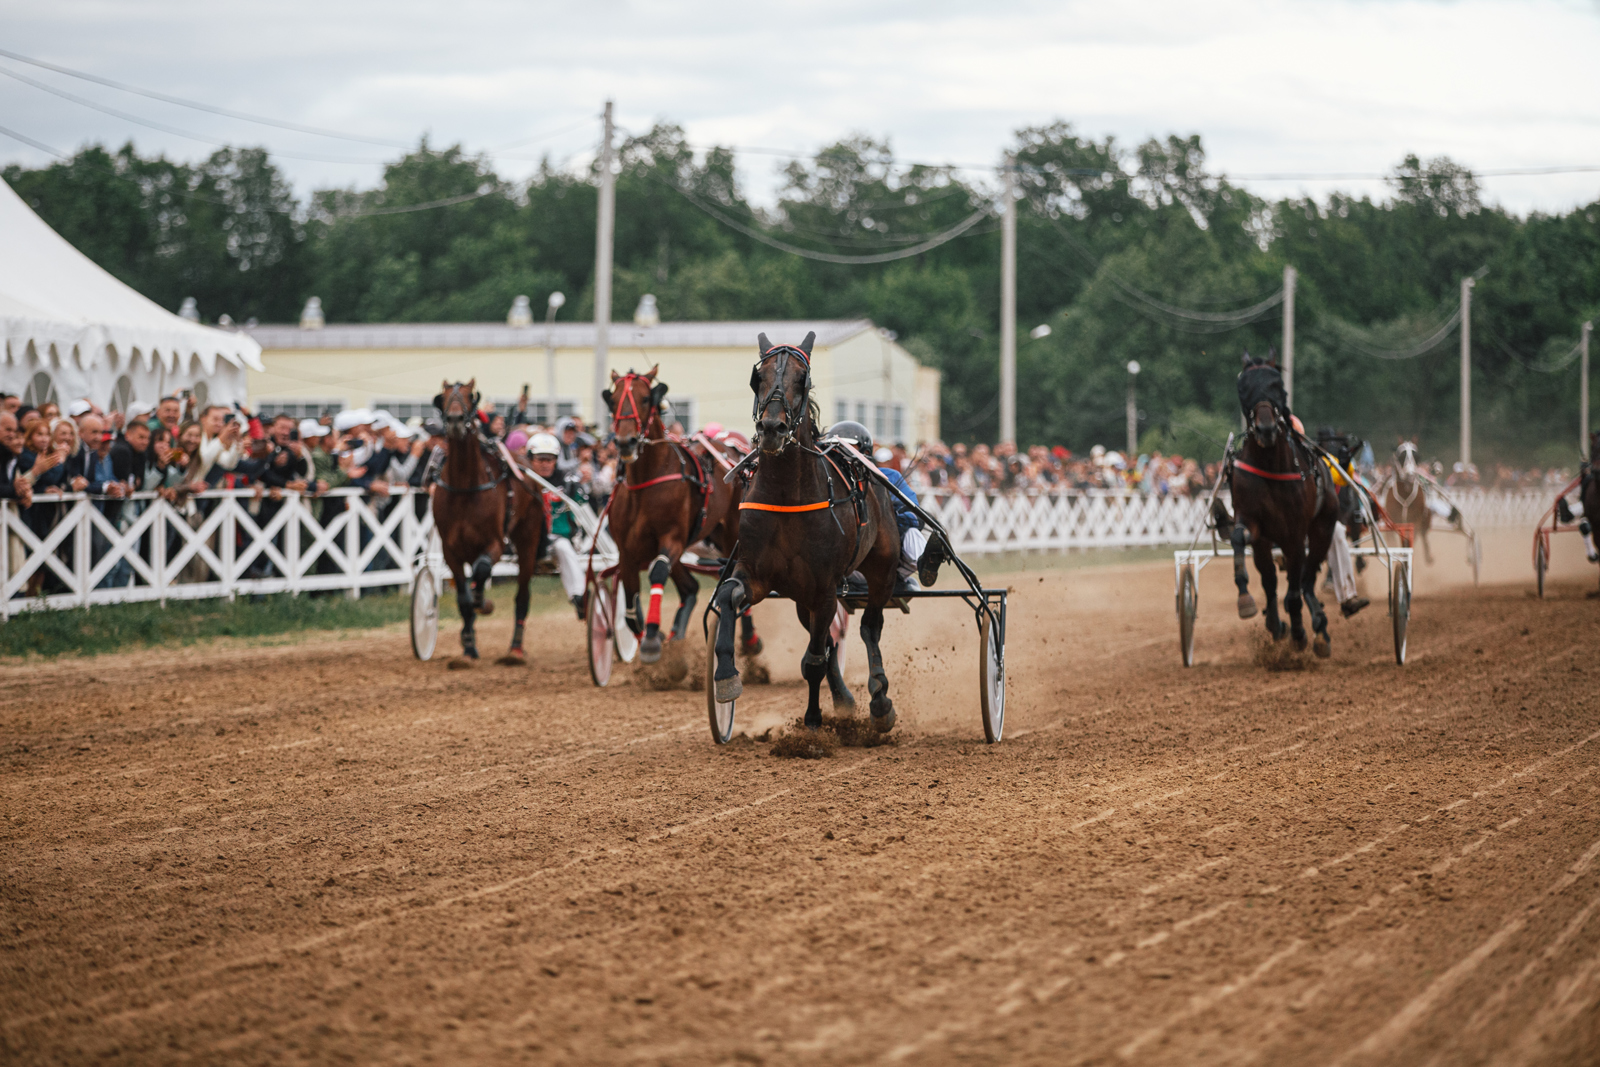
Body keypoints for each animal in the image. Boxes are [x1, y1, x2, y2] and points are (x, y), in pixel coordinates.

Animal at [432, 382, 550, 668]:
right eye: (443, 398)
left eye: (469, 398)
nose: (455, 420)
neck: (465, 487)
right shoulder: (450, 551)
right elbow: (464, 598)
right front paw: (468, 647)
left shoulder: (495, 543)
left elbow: (483, 569)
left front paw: (483, 603)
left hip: (528, 539)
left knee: (522, 595)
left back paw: (515, 649)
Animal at [601, 371, 758, 662]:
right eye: (613, 400)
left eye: (644, 398)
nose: (626, 442)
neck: (646, 480)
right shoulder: (627, 551)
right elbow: (630, 609)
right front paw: (655, 639)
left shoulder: (671, 538)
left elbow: (658, 572)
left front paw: (652, 638)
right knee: (690, 587)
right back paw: (676, 634)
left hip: (731, 532)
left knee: (736, 574)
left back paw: (751, 639)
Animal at [710, 331, 902, 735]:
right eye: (758, 377)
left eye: (803, 378)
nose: (772, 428)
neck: (787, 494)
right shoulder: (759, 573)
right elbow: (730, 595)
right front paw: (726, 675)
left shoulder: (825, 586)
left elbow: (814, 659)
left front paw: (813, 721)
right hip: (800, 596)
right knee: (827, 638)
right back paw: (845, 698)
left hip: (882, 569)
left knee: (870, 627)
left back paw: (879, 701)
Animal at [1216, 358, 1344, 655]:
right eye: (1245, 387)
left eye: (1277, 386)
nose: (1266, 429)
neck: (1270, 464)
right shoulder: (1254, 525)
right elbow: (1241, 541)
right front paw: (1248, 602)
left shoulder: (1294, 534)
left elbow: (1296, 583)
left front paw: (1299, 632)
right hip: (1268, 542)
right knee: (1274, 579)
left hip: (1323, 528)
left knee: (1306, 578)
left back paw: (1319, 629)